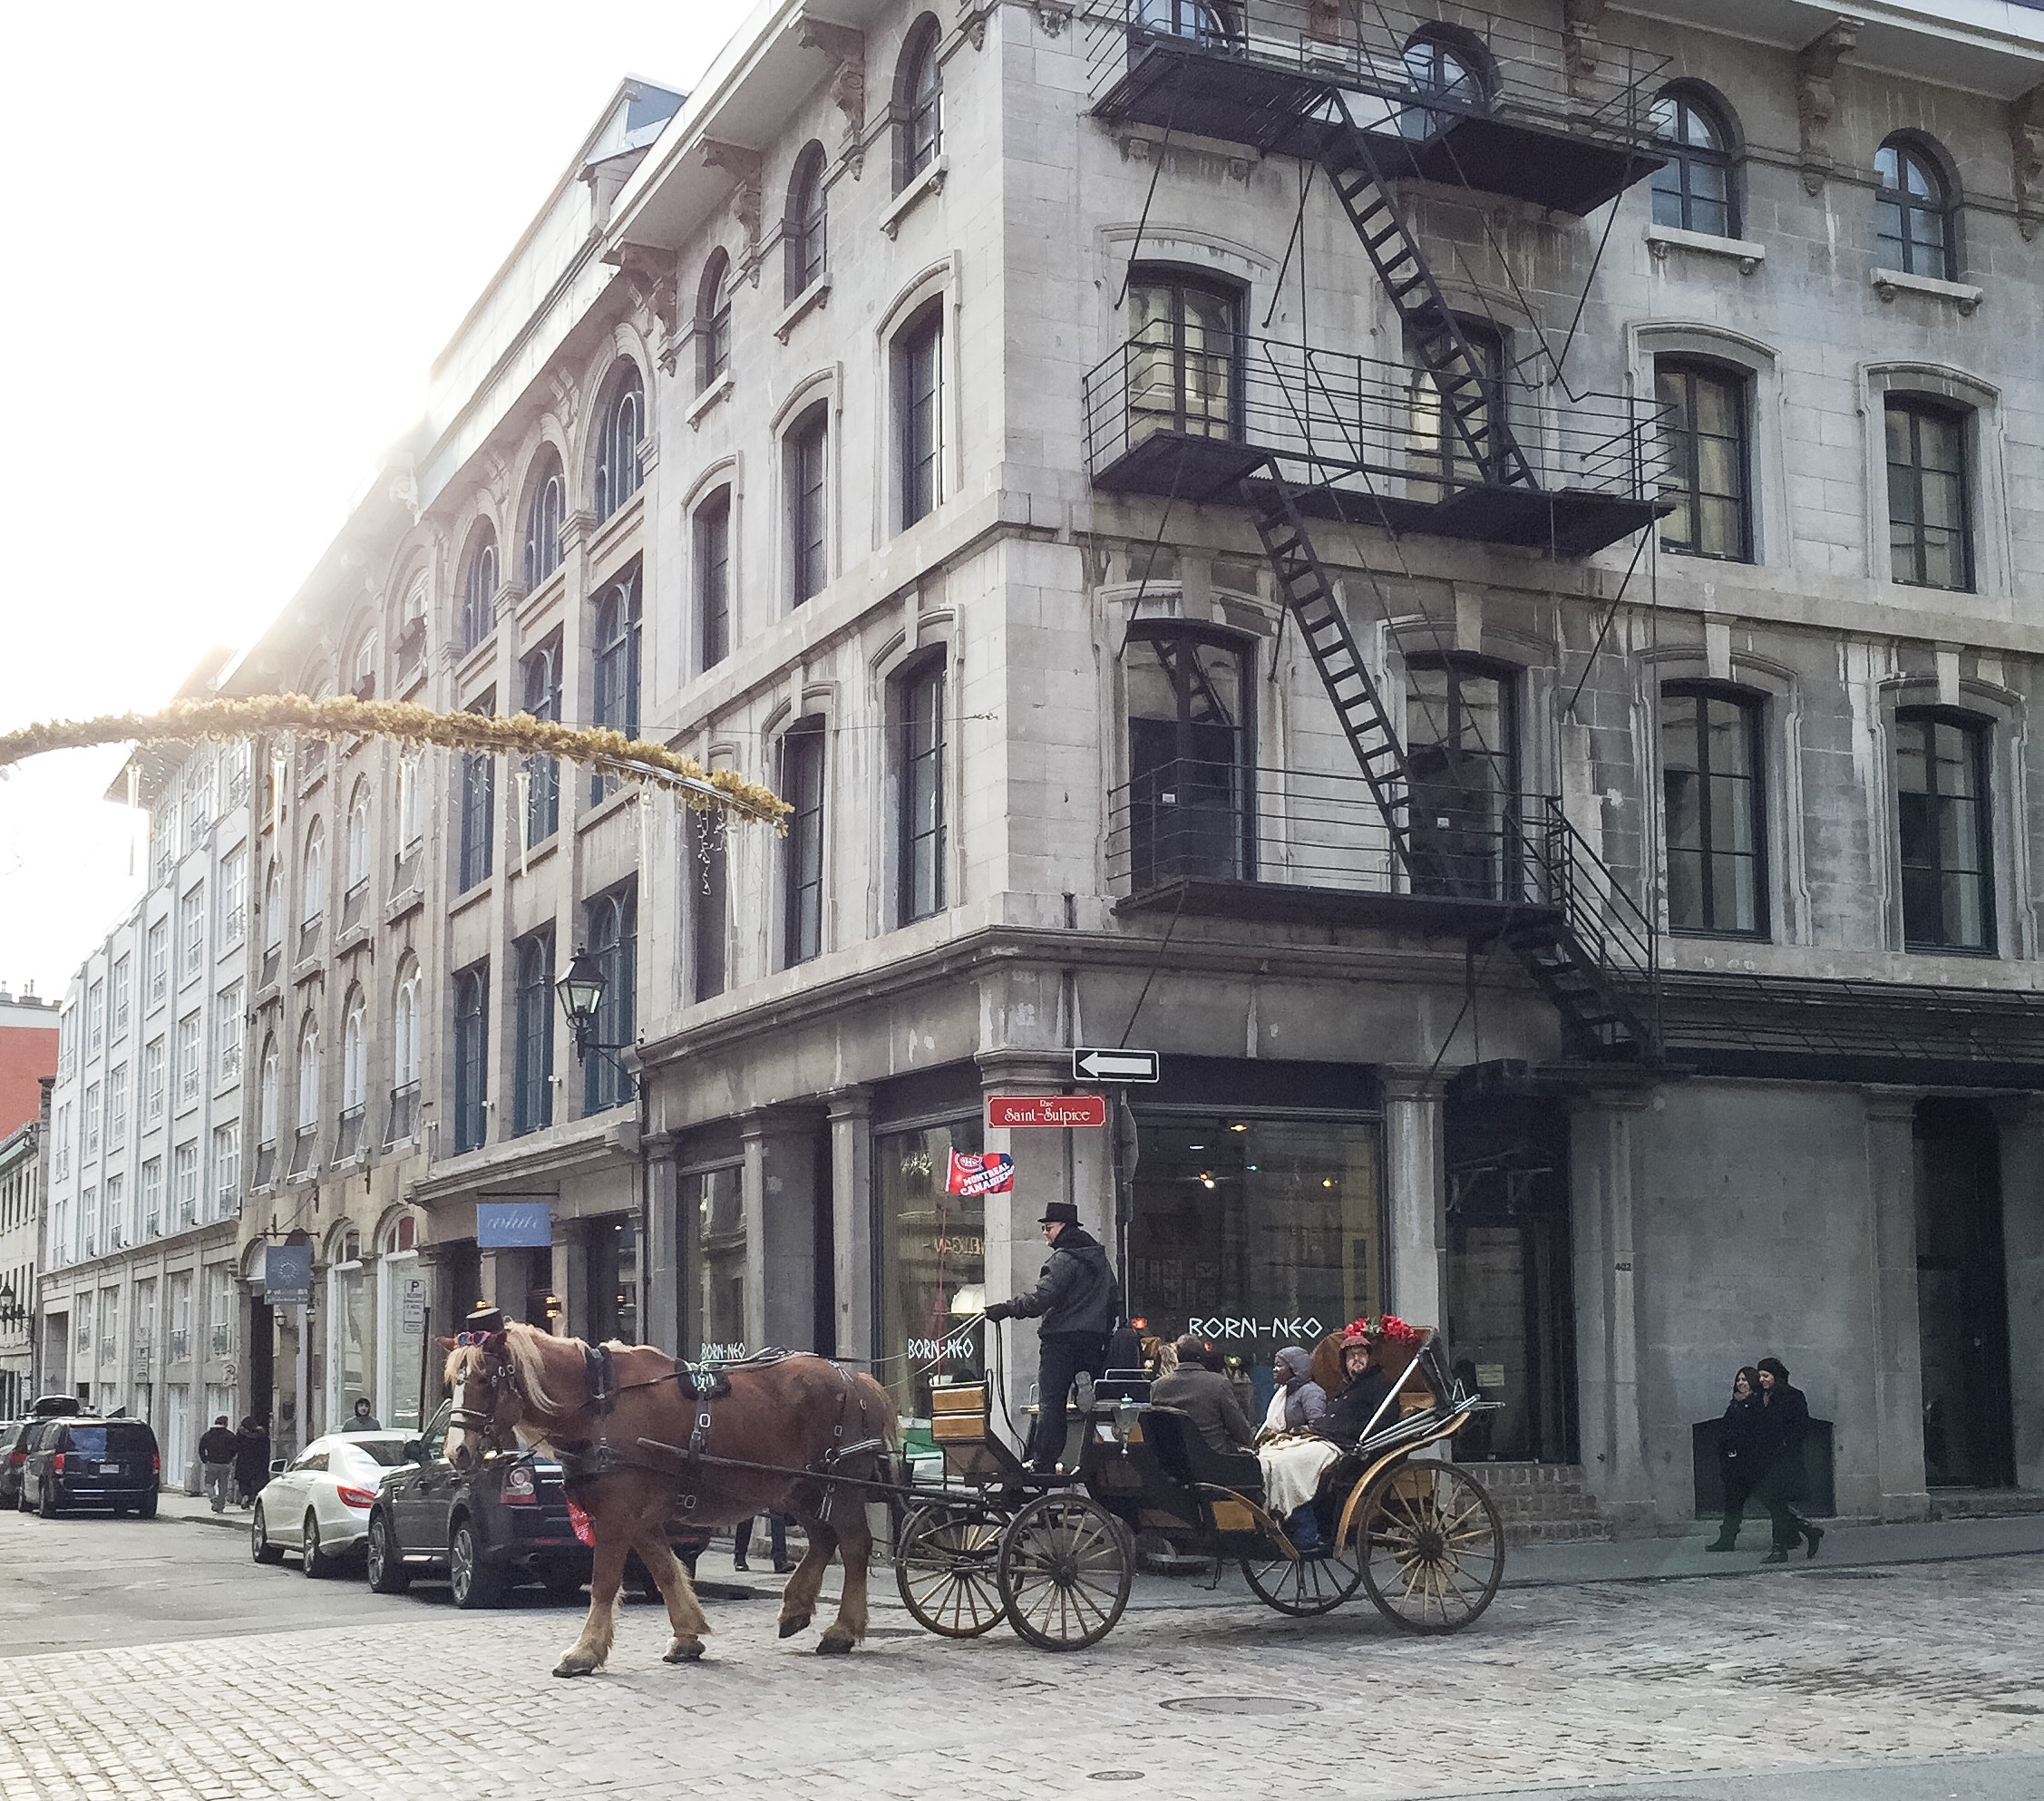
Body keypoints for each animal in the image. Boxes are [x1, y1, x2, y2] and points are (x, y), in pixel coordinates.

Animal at [439, 1308, 895, 1676]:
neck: (600, 1407)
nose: (456, 1451)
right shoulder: (639, 1519)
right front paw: (687, 1636)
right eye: (453, 1383)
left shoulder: (616, 1514)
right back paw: (796, 1609)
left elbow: (605, 1582)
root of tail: (857, 1379)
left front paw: (584, 1652)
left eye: (484, 1379)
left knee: (855, 1545)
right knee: (824, 1541)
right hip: (802, 1489)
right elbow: (665, 1570)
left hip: (839, 1487)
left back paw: (843, 1629)